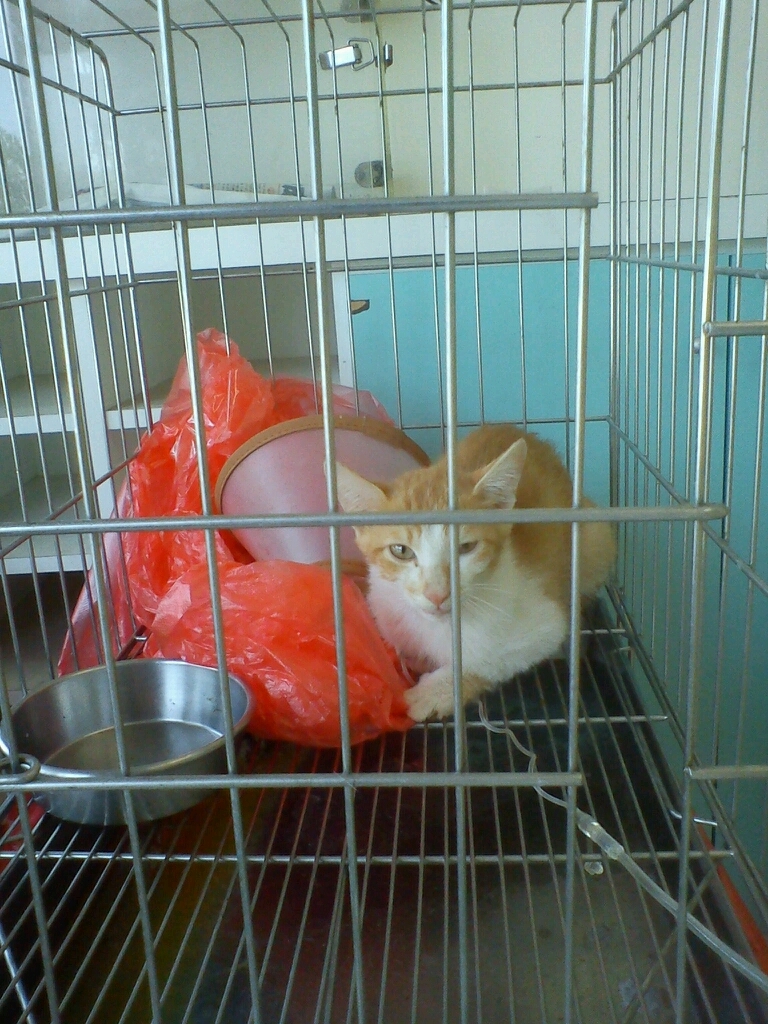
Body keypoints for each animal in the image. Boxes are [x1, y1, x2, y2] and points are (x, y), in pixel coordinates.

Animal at [335, 424, 616, 722]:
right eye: (400, 550)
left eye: (466, 547)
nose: (436, 594)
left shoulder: (546, 624)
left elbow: (489, 659)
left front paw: (435, 692)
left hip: (597, 538)